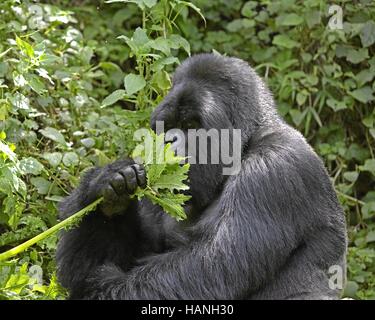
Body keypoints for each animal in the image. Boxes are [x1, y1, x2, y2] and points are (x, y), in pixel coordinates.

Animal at [56, 53, 350, 300]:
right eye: (168, 126)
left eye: (190, 125)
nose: (168, 141)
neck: (244, 147)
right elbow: (96, 265)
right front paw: (108, 188)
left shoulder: (275, 166)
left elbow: (213, 266)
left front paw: (102, 288)